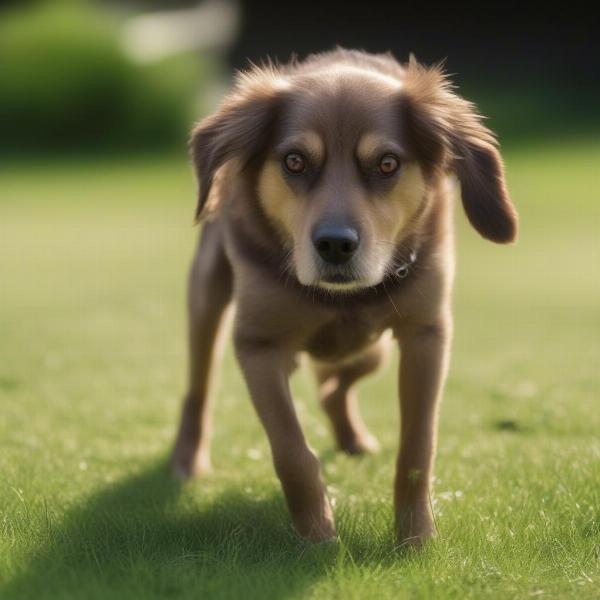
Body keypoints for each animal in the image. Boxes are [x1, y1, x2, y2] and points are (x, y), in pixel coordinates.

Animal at [171, 49, 516, 548]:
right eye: (294, 161)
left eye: (387, 164)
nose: (335, 244)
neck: (340, 301)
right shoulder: (258, 345)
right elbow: (292, 453)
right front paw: (318, 539)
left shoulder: (426, 334)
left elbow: (418, 448)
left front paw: (415, 541)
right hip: (206, 297)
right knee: (199, 388)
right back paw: (187, 459)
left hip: (373, 349)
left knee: (338, 384)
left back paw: (352, 435)